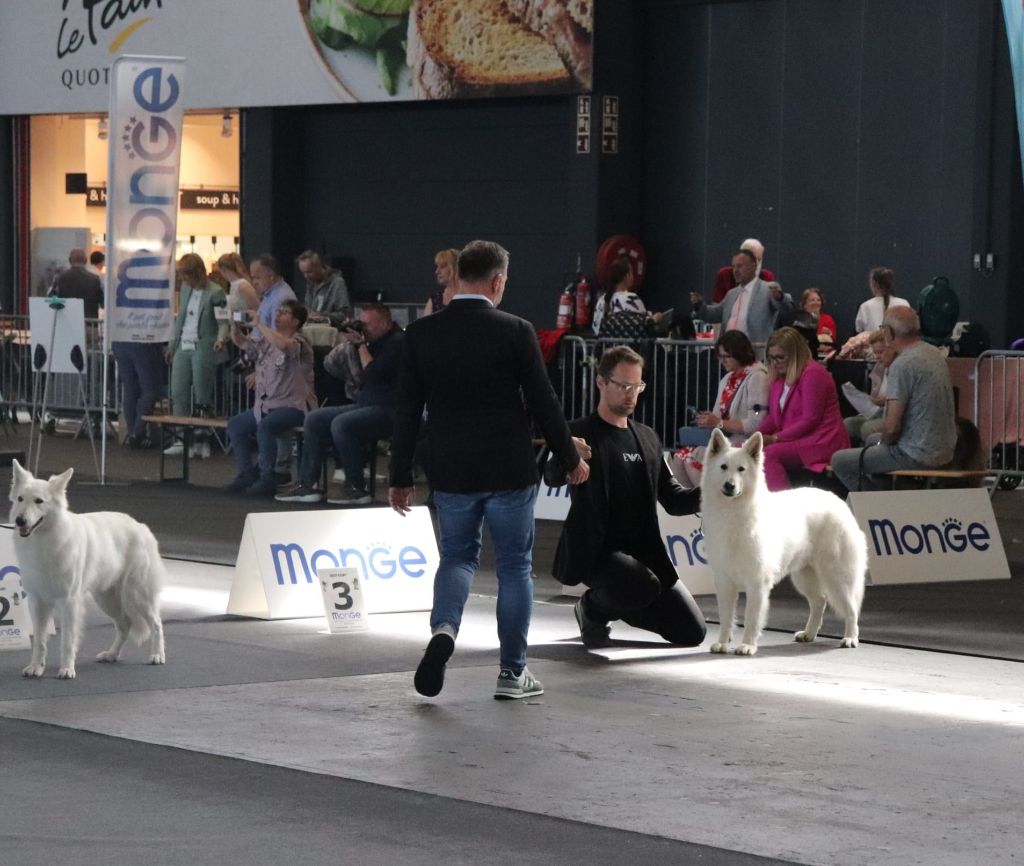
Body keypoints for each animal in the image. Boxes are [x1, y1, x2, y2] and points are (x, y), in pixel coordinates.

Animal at [8, 460, 166, 679]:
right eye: (20, 499)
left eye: (39, 501)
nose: (20, 520)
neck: (44, 539)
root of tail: (140, 526)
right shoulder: (37, 601)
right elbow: (39, 641)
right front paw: (36, 667)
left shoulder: (69, 602)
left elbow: (67, 641)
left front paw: (67, 669)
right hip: (106, 599)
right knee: (125, 625)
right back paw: (111, 654)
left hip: (136, 594)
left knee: (156, 624)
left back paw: (157, 655)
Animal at [700, 430, 866, 655]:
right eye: (723, 467)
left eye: (741, 469)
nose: (729, 485)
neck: (733, 512)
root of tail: (839, 501)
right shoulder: (725, 581)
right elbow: (725, 617)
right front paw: (723, 643)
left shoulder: (757, 582)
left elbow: (752, 618)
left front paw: (747, 645)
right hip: (805, 577)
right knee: (819, 602)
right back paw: (809, 634)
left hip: (836, 578)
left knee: (851, 610)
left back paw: (850, 638)